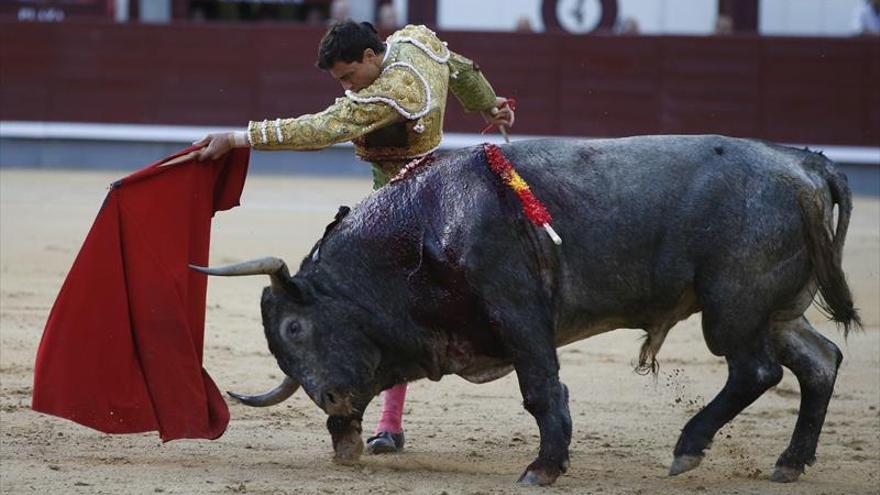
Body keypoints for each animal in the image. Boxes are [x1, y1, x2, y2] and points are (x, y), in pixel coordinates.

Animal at [194, 134, 860, 486]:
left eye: (294, 326)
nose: (330, 399)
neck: (423, 227)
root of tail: (804, 162)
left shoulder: (519, 315)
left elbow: (541, 390)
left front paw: (544, 467)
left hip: (733, 308)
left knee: (757, 370)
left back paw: (689, 447)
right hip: (776, 310)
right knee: (820, 361)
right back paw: (789, 463)